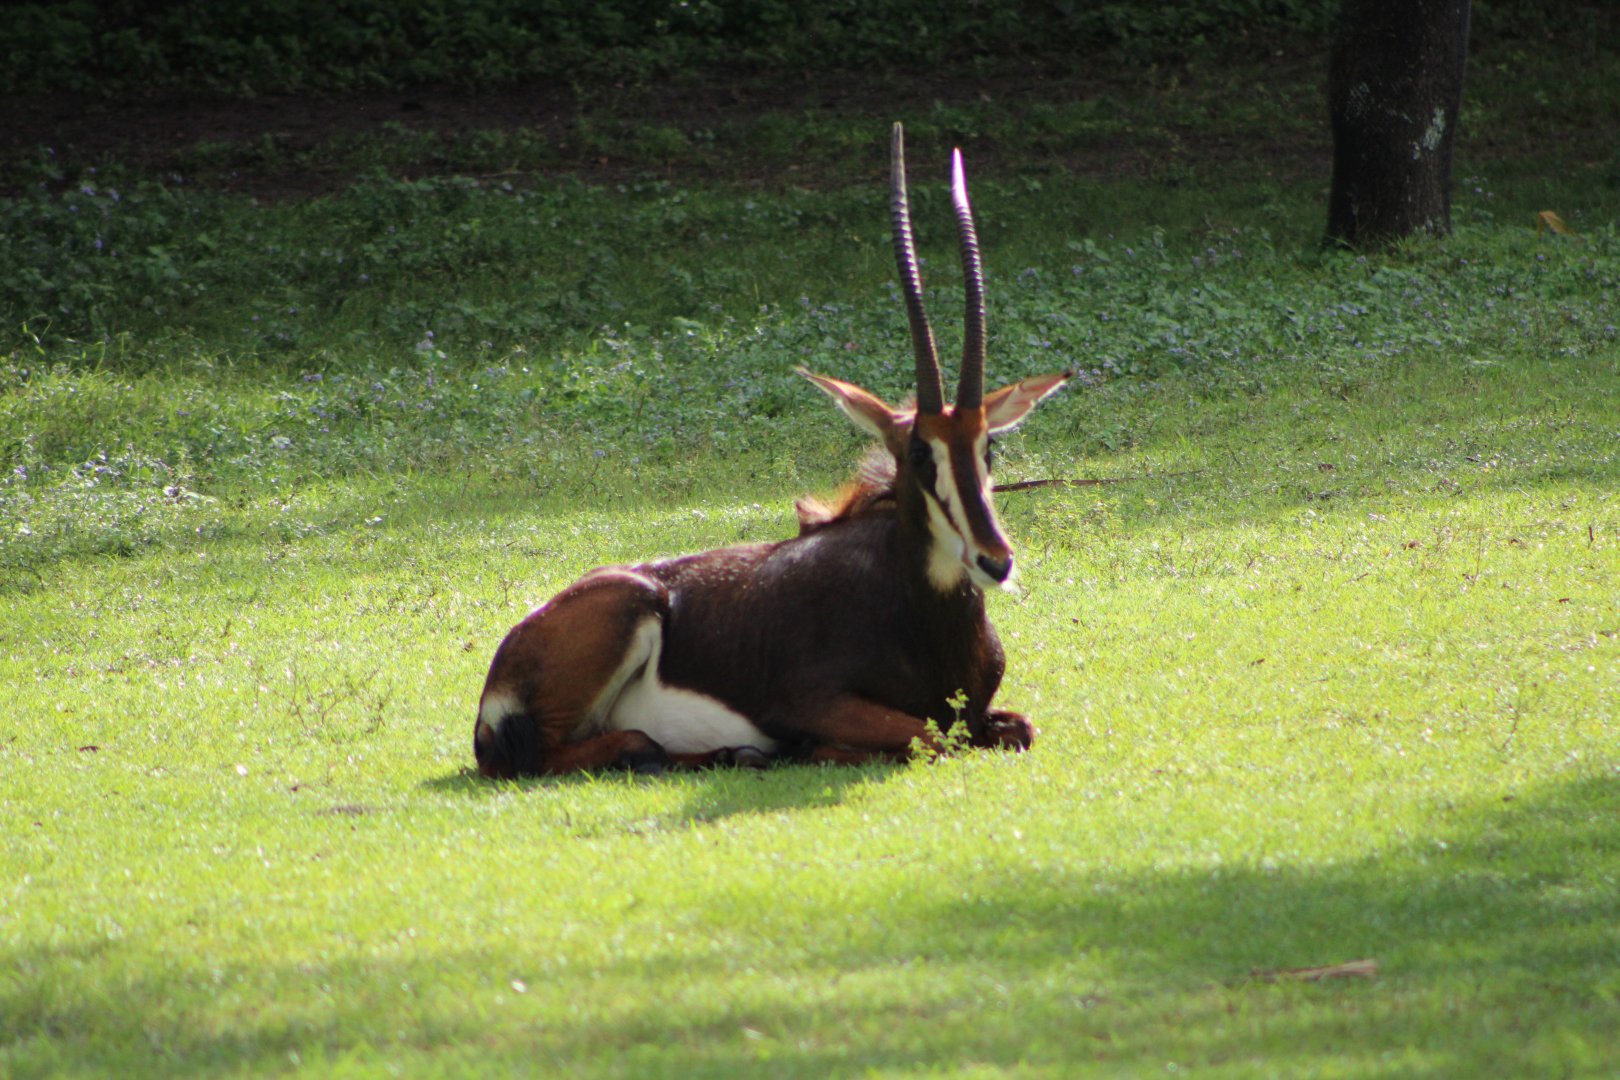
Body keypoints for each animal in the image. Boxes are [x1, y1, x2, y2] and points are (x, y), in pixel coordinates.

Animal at [474, 123, 1070, 777]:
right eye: (918, 453)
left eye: (988, 449)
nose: (996, 561)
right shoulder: (812, 702)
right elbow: (933, 737)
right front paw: (817, 749)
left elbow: (1019, 727)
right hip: (627, 617)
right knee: (577, 751)